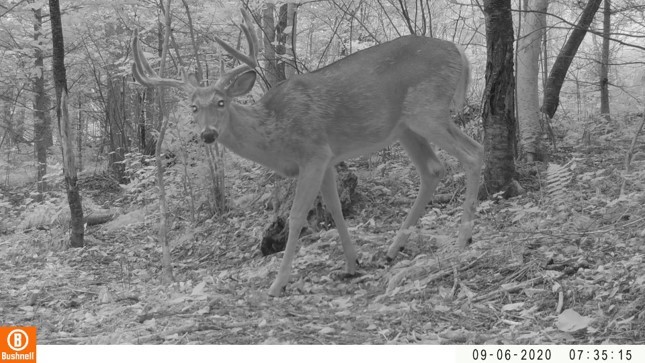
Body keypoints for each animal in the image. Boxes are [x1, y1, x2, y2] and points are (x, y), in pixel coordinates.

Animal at [132, 9, 484, 298]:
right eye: (194, 107)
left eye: (221, 102)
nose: (208, 134)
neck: (275, 135)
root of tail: (460, 52)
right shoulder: (327, 159)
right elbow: (334, 207)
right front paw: (352, 263)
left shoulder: (313, 152)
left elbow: (297, 215)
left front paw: (278, 284)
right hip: (404, 127)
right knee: (433, 169)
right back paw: (392, 249)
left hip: (428, 109)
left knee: (473, 153)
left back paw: (462, 238)